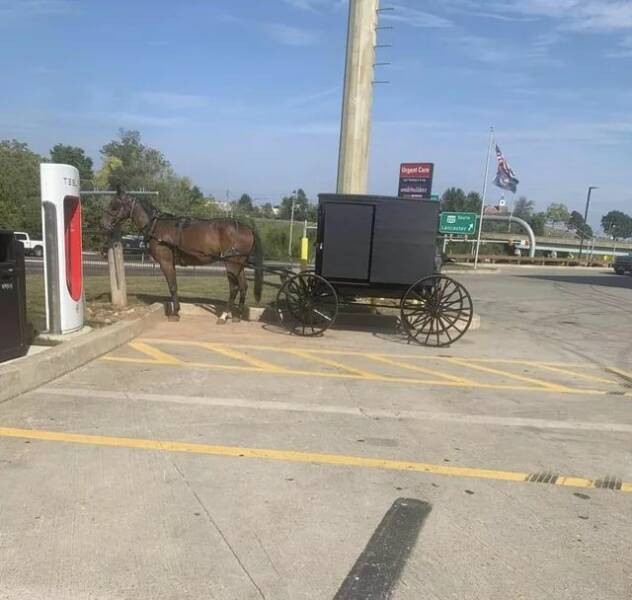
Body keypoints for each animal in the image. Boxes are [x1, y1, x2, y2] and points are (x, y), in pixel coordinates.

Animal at [102, 191, 264, 324]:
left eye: (115, 205)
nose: (103, 223)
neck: (156, 226)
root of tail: (248, 229)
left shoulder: (166, 262)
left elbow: (172, 286)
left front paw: (175, 313)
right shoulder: (171, 263)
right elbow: (174, 285)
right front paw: (176, 310)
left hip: (231, 264)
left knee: (234, 288)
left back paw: (224, 316)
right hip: (239, 264)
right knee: (243, 286)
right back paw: (238, 315)